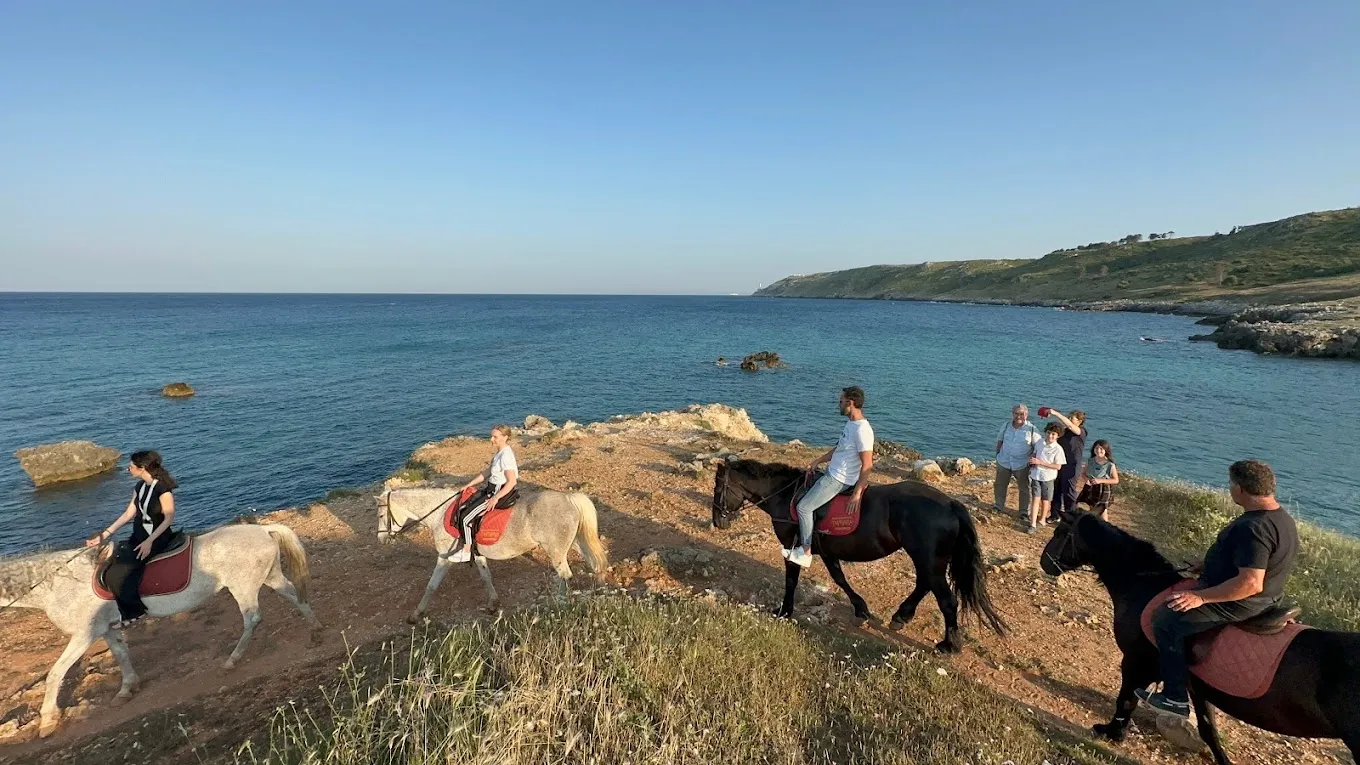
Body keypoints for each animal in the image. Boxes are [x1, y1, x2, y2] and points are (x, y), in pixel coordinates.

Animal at [0, 523, 320, 737]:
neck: (58, 582)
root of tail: (263, 529)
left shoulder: (84, 635)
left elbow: (55, 673)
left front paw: (48, 721)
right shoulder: (106, 629)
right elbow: (121, 655)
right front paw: (127, 689)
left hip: (242, 587)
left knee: (252, 618)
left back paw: (233, 660)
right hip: (270, 576)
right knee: (295, 595)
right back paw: (315, 630)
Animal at [377, 485, 607, 623]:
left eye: (380, 515)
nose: (381, 539)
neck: (442, 514)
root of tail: (569, 498)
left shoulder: (444, 558)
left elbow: (432, 585)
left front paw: (416, 614)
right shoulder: (477, 555)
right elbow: (486, 577)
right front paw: (493, 605)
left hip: (556, 550)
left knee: (565, 575)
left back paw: (561, 603)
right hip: (575, 541)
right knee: (594, 560)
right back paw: (601, 585)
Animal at [711, 459, 1007, 652]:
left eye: (717, 487)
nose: (717, 521)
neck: (788, 496)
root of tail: (950, 504)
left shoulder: (793, 545)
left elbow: (793, 580)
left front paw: (784, 611)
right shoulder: (828, 551)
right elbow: (839, 578)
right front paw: (861, 608)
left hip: (929, 559)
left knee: (946, 600)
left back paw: (948, 644)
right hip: (928, 559)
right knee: (924, 585)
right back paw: (902, 616)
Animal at [1040, 511, 1360, 763]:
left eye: (1059, 532)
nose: (1045, 562)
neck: (1144, 587)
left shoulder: (1136, 662)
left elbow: (1125, 700)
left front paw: (1112, 732)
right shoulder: (1196, 684)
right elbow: (1208, 729)